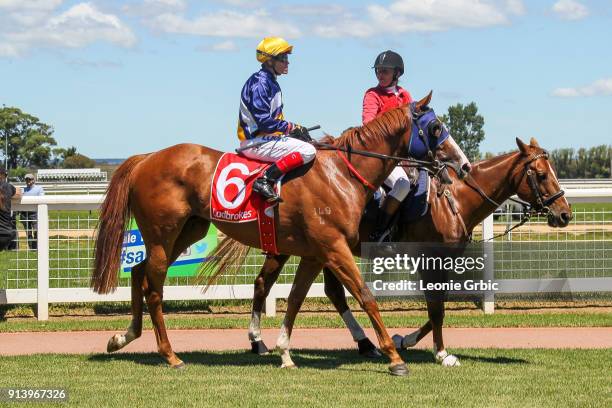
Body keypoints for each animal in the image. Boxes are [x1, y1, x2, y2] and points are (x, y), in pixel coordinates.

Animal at [89, 93, 464, 376]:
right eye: (435, 127)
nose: (461, 165)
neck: (342, 174)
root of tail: (146, 158)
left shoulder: (315, 253)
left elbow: (296, 299)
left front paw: (284, 352)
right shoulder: (335, 248)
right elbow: (365, 296)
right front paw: (395, 356)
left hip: (186, 230)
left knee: (139, 272)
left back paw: (124, 337)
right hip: (162, 234)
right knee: (153, 288)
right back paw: (169, 354)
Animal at [232, 136, 572, 366]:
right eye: (542, 174)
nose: (565, 213)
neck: (454, 198)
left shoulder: (443, 260)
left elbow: (441, 305)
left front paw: (405, 339)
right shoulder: (428, 260)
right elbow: (436, 308)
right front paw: (441, 353)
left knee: (333, 292)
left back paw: (365, 343)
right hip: (289, 248)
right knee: (263, 284)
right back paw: (257, 341)